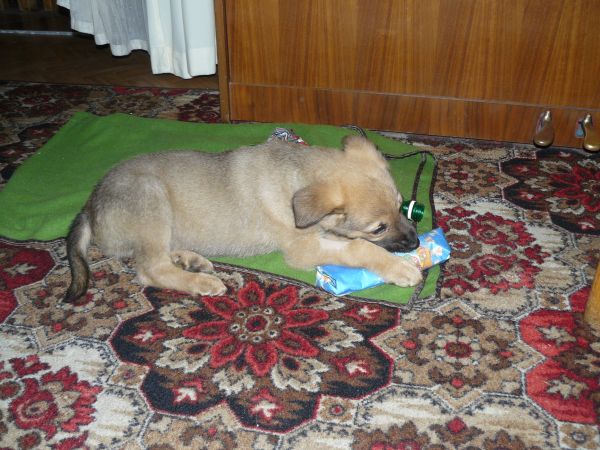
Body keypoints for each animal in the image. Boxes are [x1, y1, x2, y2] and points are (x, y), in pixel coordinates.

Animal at [64, 136, 422, 302]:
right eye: (378, 228)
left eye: (402, 206)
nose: (417, 242)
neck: (296, 175)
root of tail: (90, 205)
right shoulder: (301, 249)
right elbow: (360, 249)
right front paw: (400, 268)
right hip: (150, 197)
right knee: (151, 268)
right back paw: (202, 282)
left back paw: (190, 260)